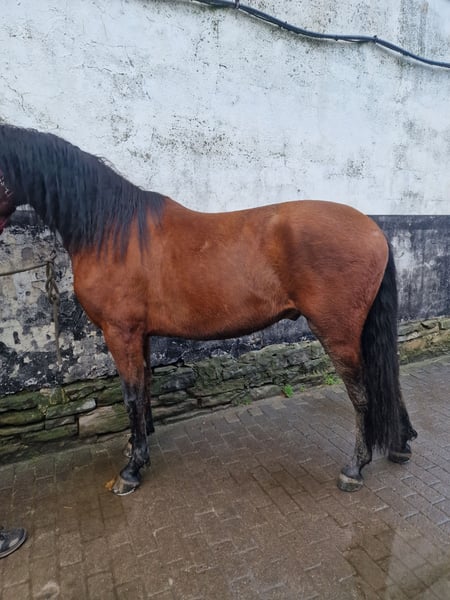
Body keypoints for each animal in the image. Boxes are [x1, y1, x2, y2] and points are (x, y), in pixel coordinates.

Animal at [0, 123, 417, 495]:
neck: (113, 231)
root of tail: (375, 231)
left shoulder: (120, 332)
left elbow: (131, 394)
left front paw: (132, 470)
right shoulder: (140, 333)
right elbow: (144, 387)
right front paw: (138, 445)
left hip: (339, 332)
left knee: (363, 393)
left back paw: (355, 468)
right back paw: (400, 444)